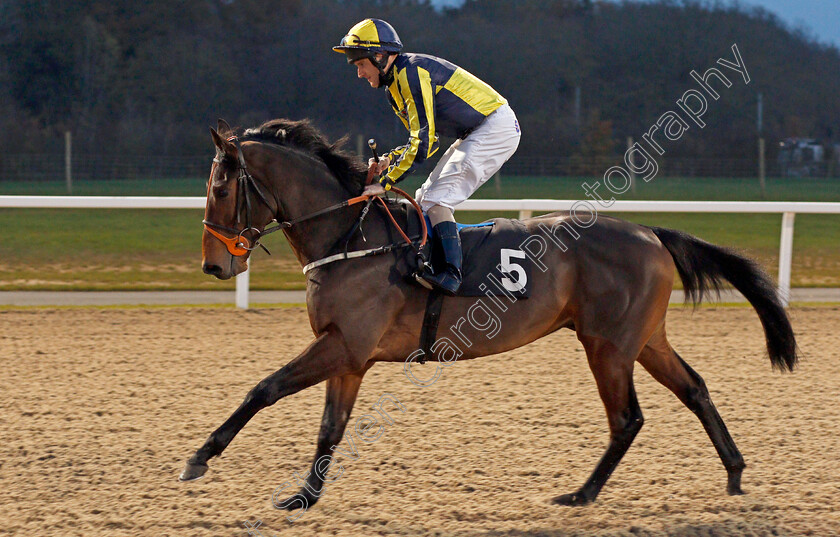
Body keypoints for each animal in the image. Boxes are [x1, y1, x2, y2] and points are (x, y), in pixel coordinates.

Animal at [180, 118, 796, 510]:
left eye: (219, 188)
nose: (212, 264)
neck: (350, 237)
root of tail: (650, 232)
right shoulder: (350, 356)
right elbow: (331, 426)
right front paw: (303, 497)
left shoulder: (344, 344)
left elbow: (264, 388)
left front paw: (200, 457)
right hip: (643, 340)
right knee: (695, 388)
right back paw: (734, 473)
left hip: (608, 346)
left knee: (627, 419)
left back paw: (582, 494)